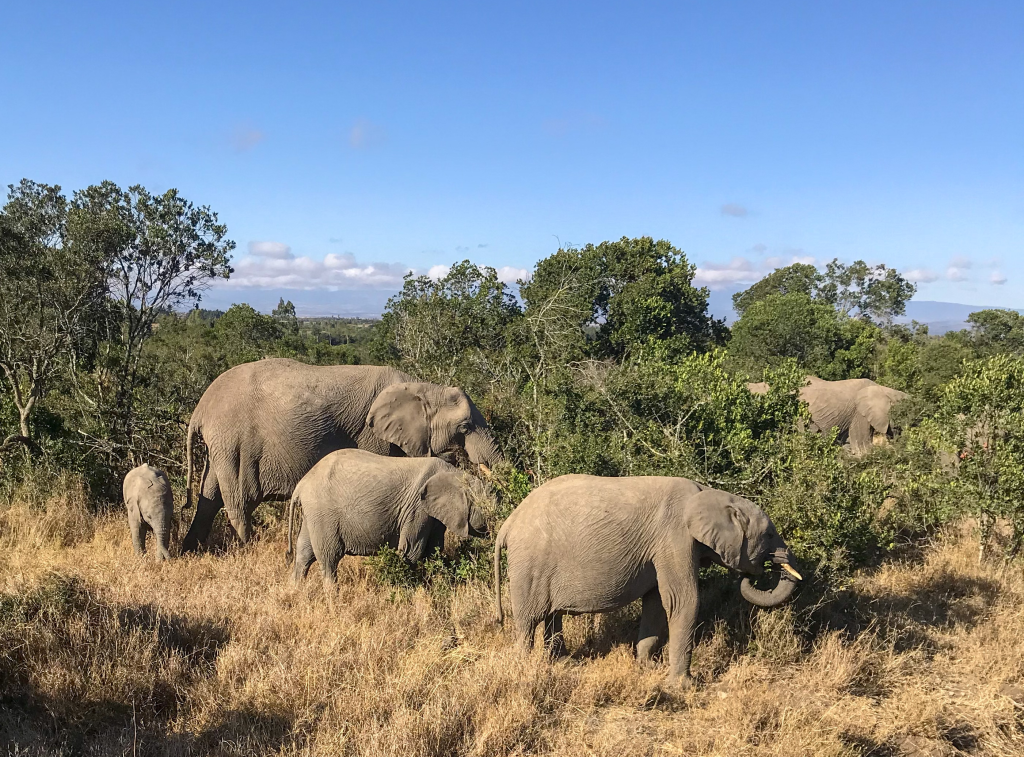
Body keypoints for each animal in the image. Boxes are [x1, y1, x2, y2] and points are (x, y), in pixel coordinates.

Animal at [185, 358, 507, 553]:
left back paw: (189, 550)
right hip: (233, 442)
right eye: (464, 427)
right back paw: (250, 549)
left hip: (221, 444)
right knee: (237, 501)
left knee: (208, 497)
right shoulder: (371, 434)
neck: (423, 388)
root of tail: (201, 407)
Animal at [286, 450, 489, 594]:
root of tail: (301, 484)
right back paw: (333, 600)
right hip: (323, 513)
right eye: (486, 506)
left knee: (304, 552)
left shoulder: (434, 514)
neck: (455, 473)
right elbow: (411, 551)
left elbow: (434, 550)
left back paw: (296, 592)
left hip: (313, 514)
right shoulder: (417, 509)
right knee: (329, 558)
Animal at [491, 477, 802, 688]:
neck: (710, 494)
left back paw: (562, 662)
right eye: (770, 535)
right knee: (528, 621)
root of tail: (509, 522)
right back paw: (524, 667)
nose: (757, 572)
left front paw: (645, 669)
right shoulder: (674, 538)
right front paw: (683, 686)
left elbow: (656, 603)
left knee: (552, 615)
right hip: (530, 563)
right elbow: (683, 600)